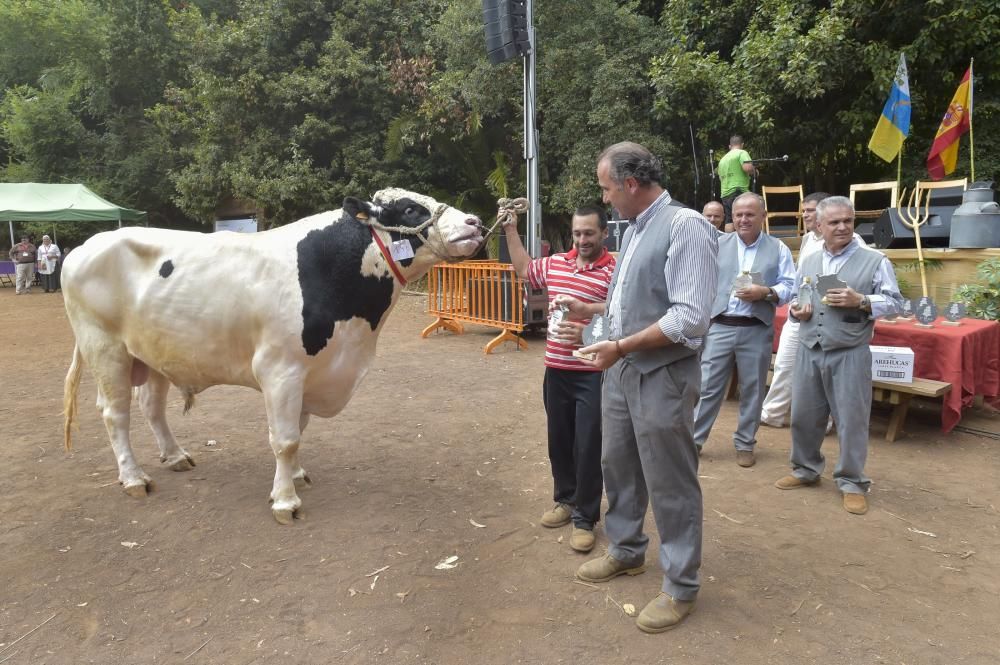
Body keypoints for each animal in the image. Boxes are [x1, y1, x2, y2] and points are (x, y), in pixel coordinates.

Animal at [62, 188, 484, 524]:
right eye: (411, 208)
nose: (476, 221)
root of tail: (86, 245)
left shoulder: (311, 373)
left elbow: (299, 429)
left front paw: (295, 476)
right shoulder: (281, 370)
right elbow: (285, 438)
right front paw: (285, 501)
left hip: (153, 351)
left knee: (150, 406)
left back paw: (175, 455)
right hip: (105, 348)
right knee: (115, 414)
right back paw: (134, 478)